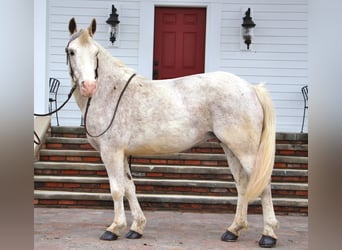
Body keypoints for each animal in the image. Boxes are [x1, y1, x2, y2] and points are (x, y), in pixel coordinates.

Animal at [65, 18, 280, 248]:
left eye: (96, 52)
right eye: (72, 51)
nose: (88, 86)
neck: (109, 92)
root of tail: (251, 88)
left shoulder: (110, 152)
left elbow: (117, 190)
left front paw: (114, 228)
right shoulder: (122, 153)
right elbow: (129, 187)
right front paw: (136, 228)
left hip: (246, 151)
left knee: (263, 185)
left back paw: (268, 235)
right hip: (230, 148)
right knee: (242, 184)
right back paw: (233, 230)